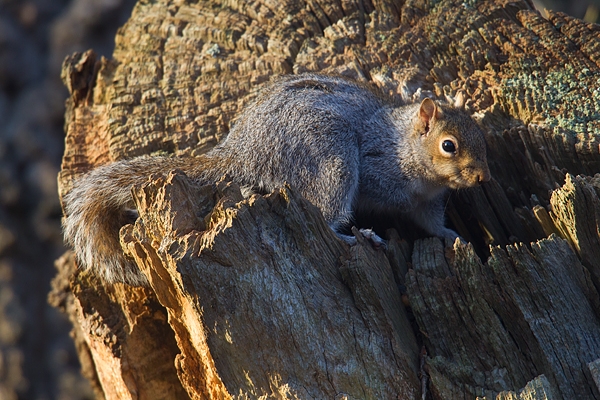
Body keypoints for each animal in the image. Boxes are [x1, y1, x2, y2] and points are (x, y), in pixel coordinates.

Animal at [62, 73, 492, 286]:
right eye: (449, 145)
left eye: (481, 135)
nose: (483, 176)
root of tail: (242, 153)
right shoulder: (375, 169)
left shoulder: (426, 204)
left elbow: (431, 224)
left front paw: (452, 235)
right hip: (330, 160)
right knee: (323, 213)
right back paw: (356, 237)